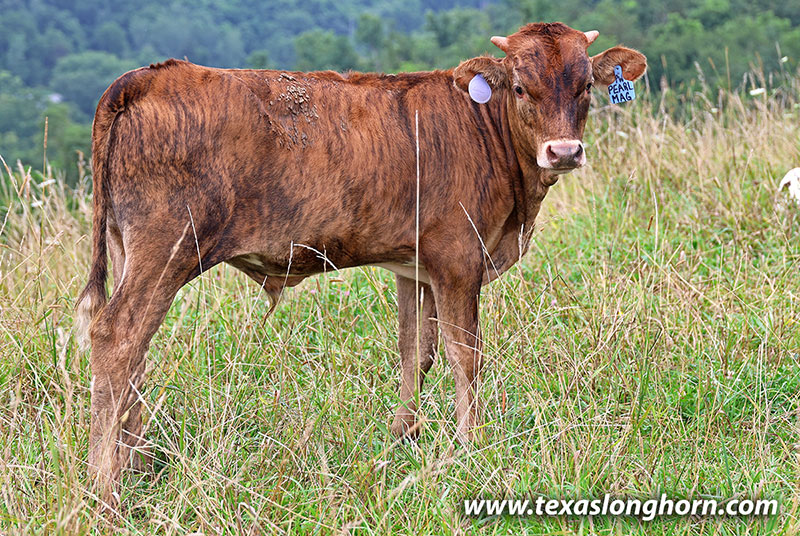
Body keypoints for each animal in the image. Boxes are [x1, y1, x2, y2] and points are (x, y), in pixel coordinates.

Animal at [76, 22, 646, 505]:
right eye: (522, 88)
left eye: (585, 88)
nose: (564, 151)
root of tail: (148, 75)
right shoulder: (459, 257)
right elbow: (466, 356)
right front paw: (470, 449)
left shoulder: (416, 266)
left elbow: (416, 350)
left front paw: (404, 436)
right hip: (167, 246)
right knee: (118, 337)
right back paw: (106, 489)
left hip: (129, 249)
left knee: (135, 353)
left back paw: (135, 467)